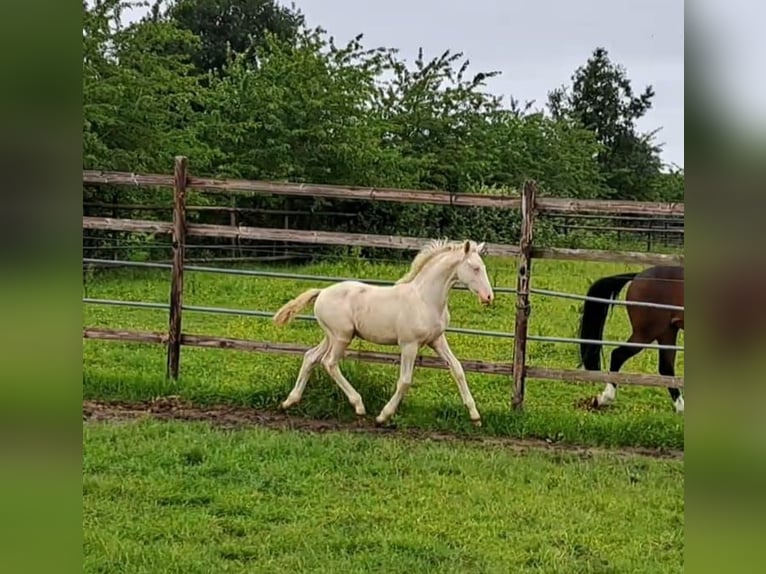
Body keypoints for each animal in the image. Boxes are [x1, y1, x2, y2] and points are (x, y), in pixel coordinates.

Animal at [272, 240, 496, 428]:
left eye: (484, 267)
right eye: (475, 268)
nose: (488, 297)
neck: (425, 299)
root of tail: (322, 292)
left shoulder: (437, 340)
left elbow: (457, 369)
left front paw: (475, 417)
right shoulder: (409, 344)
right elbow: (405, 381)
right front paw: (383, 416)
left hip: (331, 336)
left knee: (311, 357)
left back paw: (288, 402)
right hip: (341, 336)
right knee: (329, 362)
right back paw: (359, 407)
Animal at [580, 266, 688, 414]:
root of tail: (638, 276)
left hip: (667, 332)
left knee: (666, 368)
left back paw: (681, 408)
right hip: (647, 333)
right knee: (618, 355)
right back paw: (605, 398)